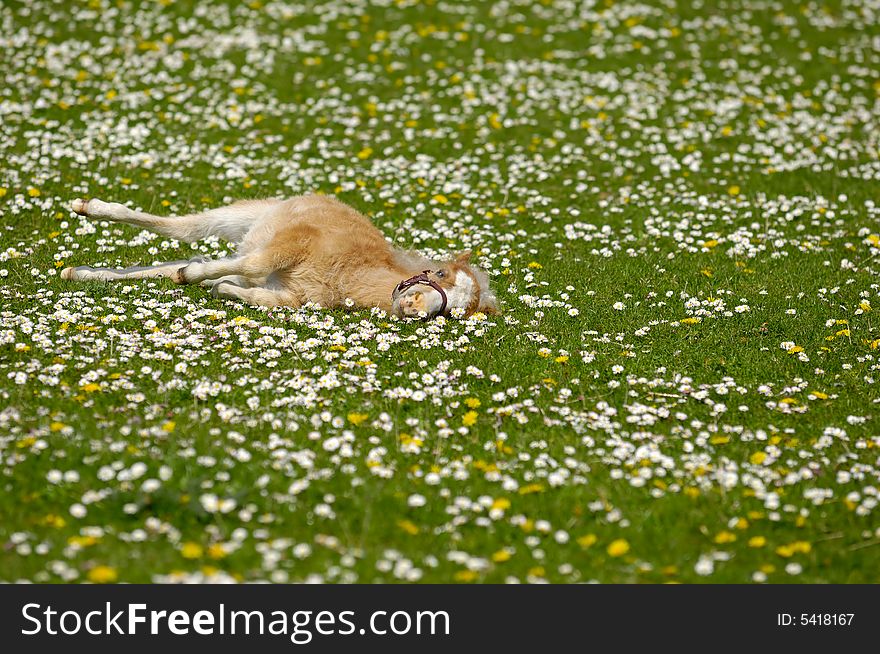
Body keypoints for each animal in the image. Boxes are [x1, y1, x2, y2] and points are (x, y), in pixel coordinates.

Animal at [62, 193, 498, 322]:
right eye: (437, 272)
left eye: (450, 312)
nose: (412, 304)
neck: (345, 274)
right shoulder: (292, 244)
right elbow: (253, 264)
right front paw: (197, 276)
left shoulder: (289, 296)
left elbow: (253, 292)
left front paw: (218, 285)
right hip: (249, 218)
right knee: (184, 230)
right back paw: (87, 208)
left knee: (170, 263)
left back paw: (79, 273)